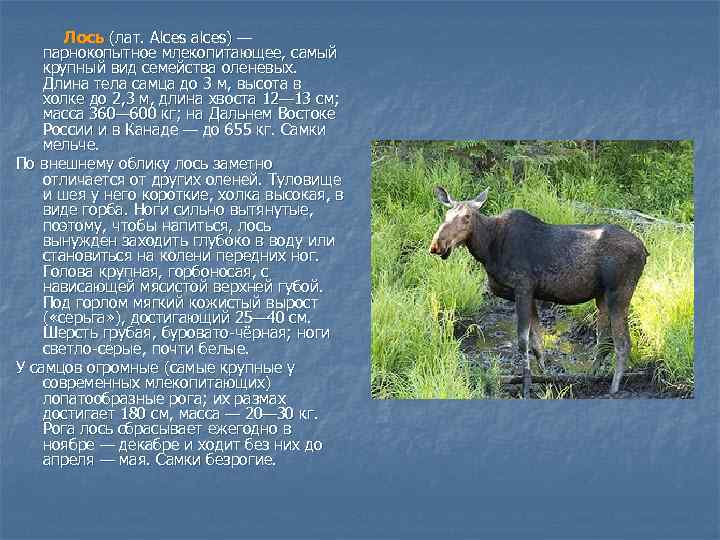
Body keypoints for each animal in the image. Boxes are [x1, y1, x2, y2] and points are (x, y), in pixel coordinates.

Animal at [428, 186, 648, 398]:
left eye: (467, 217)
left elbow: (523, 341)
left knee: (622, 342)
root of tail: (645, 251)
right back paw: (591, 377)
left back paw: (614, 389)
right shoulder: (531, 294)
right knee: (603, 340)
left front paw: (527, 387)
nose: (436, 245)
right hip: (601, 296)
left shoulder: (523, 288)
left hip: (619, 292)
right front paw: (545, 379)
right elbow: (537, 343)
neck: (488, 250)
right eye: (446, 215)